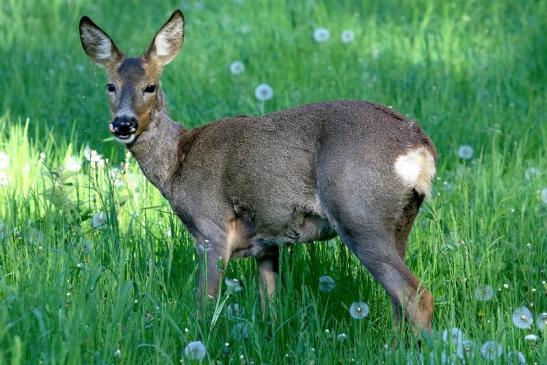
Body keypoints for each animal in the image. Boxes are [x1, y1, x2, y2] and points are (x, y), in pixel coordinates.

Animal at [78, 9, 436, 332]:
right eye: (110, 86)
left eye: (150, 86)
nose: (123, 124)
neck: (178, 161)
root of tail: (420, 147)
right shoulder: (267, 240)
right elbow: (270, 305)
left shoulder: (211, 229)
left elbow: (204, 305)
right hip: (399, 222)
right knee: (398, 301)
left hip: (359, 213)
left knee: (416, 296)